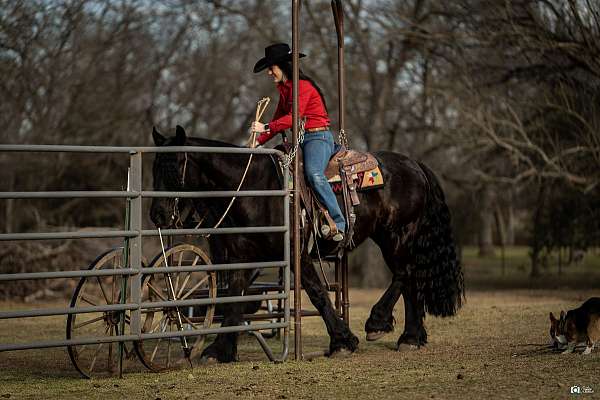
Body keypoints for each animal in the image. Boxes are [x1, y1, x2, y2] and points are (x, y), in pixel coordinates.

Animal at [150, 126, 464, 362]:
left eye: (174, 167)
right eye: (154, 168)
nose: (158, 215)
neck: (255, 189)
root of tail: (415, 165)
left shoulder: (298, 254)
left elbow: (317, 293)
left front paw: (342, 341)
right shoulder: (242, 257)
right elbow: (234, 298)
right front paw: (219, 350)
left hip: (397, 234)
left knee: (404, 273)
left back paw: (379, 322)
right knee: (410, 280)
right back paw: (411, 336)